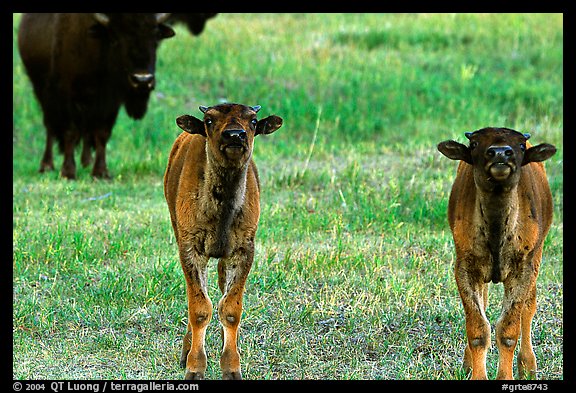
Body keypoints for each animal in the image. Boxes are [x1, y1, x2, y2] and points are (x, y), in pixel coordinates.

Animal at [18, 13, 176, 179]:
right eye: (116, 38)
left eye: (155, 37)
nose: (142, 80)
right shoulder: (68, 96)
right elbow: (70, 131)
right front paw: (68, 172)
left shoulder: (109, 102)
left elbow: (101, 133)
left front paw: (101, 172)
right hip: (42, 91)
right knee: (50, 126)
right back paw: (46, 166)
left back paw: (87, 162)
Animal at [164, 102, 284, 378]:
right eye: (209, 120)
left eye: (253, 121)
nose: (234, 136)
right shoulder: (190, 249)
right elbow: (199, 308)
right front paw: (194, 367)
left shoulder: (242, 251)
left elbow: (229, 308)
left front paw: (231, 368)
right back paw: (186, 351)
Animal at [438, 127, 556, 378]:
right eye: (474, 144)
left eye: (520, 145)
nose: (500, 153)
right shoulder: (466, 268)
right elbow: (478, 328)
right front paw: (475, 372)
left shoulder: (523, 269)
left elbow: (509, 330)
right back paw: (467, 364)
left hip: (537, 257)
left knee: (528, 309)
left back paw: (528, 367)